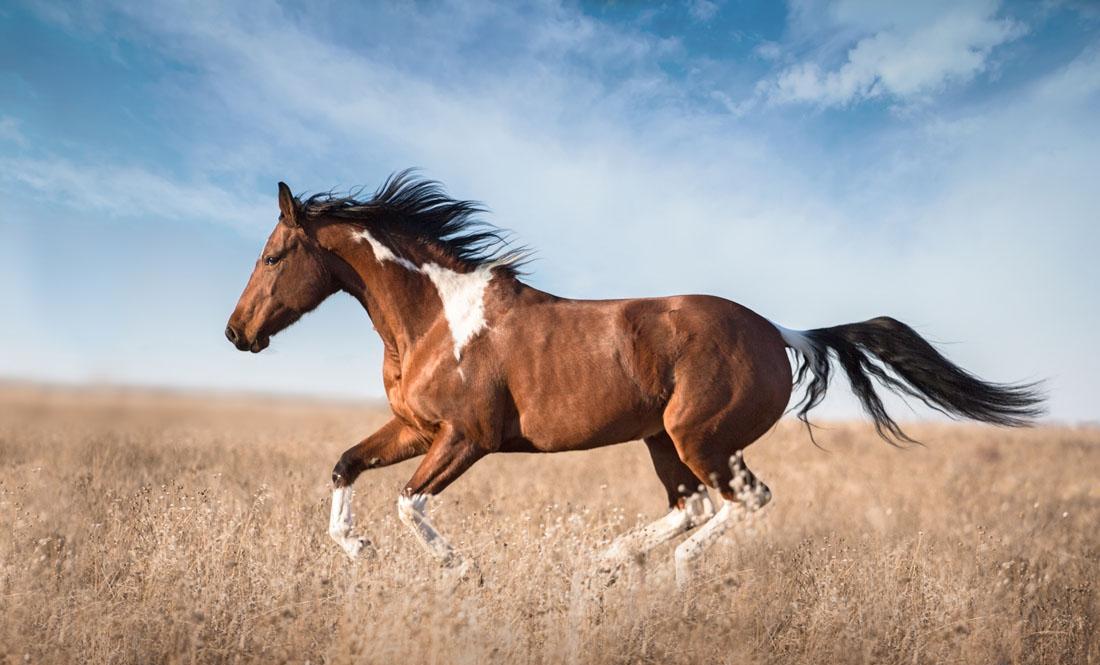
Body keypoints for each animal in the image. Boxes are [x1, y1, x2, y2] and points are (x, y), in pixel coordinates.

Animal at [221, 172, 1038, 584]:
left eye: (271, 255)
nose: (236, 333)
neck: (435, 317)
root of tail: (781, 332)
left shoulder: (466, 436)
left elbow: (408, 503)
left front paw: (460, 568)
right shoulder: (415, 428)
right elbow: (345, 465)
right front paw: (356, 550)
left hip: (699, 436)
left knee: (740, 501)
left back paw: (671, 571)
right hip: (661, 440)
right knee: (693, 505)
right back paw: (609, 558)